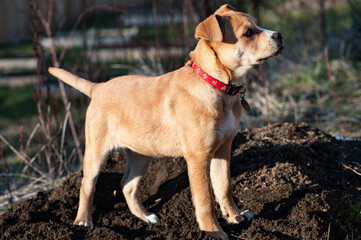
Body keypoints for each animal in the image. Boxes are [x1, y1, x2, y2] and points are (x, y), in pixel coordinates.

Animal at [49, 4, 282, 240]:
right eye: (248, 33)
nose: (279, 35)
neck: (218, 86)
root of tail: (97, 87)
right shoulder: (198, 157)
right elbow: (205, 199)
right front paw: (213, 231)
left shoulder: (223, 148)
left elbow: (224, 187)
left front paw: (235, 216)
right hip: (96, 150)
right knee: (87, 185)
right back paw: (83, 221)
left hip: (140, 153)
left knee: (127, 185)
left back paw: (146, 217)